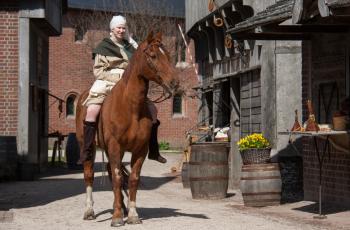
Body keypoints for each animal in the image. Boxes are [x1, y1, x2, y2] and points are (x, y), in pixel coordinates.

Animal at [75, 31, 179, 227]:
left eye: (168, 55)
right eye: (153, 55)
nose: (175, 82)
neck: (130, 107)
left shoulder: (140, 150)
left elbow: (132, 179)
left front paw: (131, 214)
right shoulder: (115, 147)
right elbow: (117, 178)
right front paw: (116, 217)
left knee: (110, 171)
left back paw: (121, 207)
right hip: (89, 147)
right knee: (89, 175)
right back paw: (89, 211)